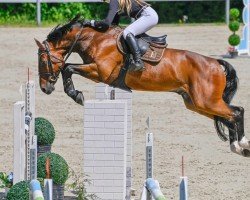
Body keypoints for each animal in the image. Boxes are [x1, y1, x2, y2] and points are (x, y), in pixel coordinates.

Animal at [35, 15, 250, 157]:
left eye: (43, 60)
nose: (45, 88)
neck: (95, 39)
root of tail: (215, 63)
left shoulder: (99, 72)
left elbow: (68, 68)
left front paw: (76, 94)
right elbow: (67, 68)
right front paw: (75, 93)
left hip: (206, 101)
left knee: (236, 112)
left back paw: (242, 143)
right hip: (196, 103)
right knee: (229, 116)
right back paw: (237, 146)